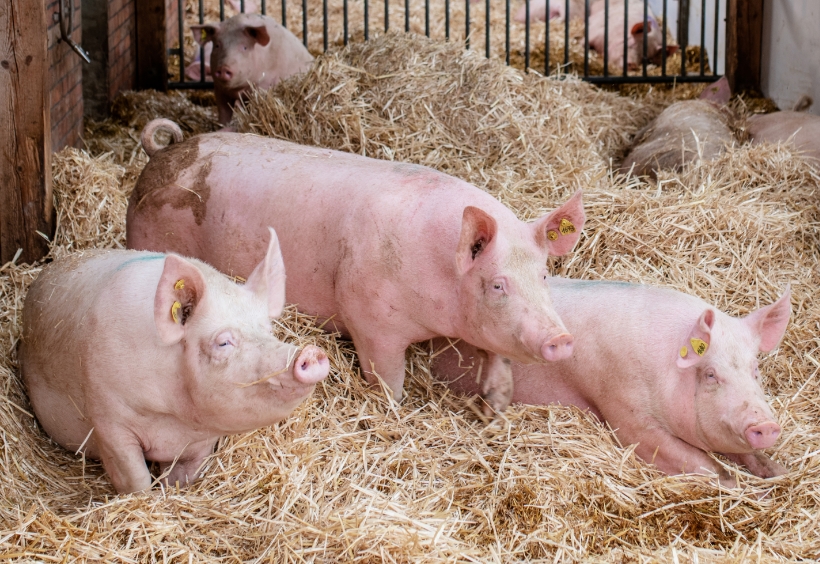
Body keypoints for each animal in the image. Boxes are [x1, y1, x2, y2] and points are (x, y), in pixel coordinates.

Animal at [20, 229, 326, 494]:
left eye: (268, 330)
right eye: (223, 342)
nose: (310, 352)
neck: (173, 415)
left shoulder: (203, 440)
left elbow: (183, 478)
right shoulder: (107, 419)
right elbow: (135, 479)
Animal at [432, 278, 792, 484]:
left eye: (755, 370)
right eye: (711, 374)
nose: (765, 425)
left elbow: (746, 455)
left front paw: (778, 473)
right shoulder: (624, 411)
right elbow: (703, 465)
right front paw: (748, 490)